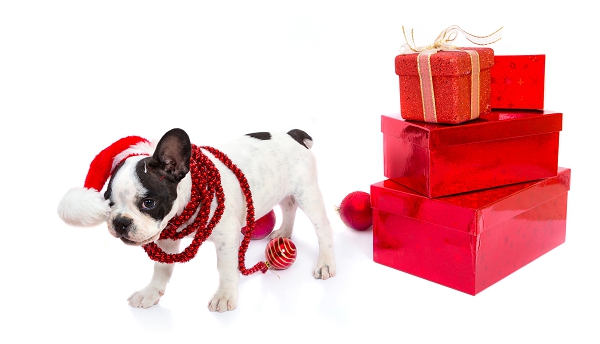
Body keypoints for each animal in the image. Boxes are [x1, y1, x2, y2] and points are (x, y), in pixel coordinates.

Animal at [58, 128, 336, 312]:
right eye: (109, 203)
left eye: (148, 203)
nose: (120, 222)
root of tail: (292, 135)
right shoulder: (166, 238)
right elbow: (162, 267)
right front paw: (151, 292)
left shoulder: (226, 240)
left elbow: (225, 269)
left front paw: (225, 296)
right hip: (287, 192)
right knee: (289, 208)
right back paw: (284, 233)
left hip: (308, 193)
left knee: (323, 229)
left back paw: (325, 263)